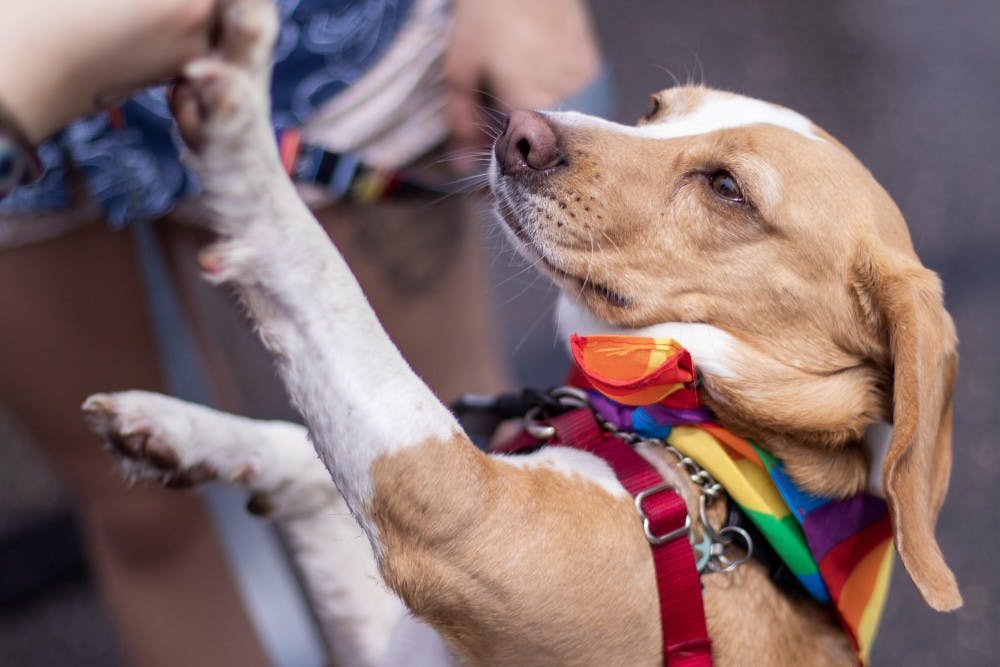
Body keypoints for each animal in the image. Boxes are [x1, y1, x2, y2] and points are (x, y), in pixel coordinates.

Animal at [82, 2, 956, 664]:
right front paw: (184, 431)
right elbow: (306, 440)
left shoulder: (452, 512)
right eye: (653, 110)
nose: (519, 132)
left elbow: (319, 275)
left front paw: (240, 127)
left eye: (726, 188)